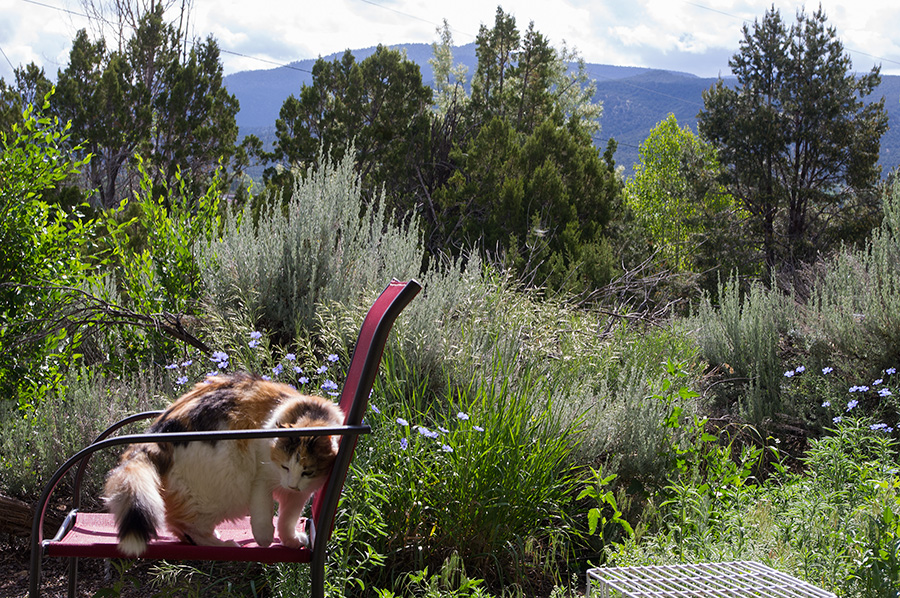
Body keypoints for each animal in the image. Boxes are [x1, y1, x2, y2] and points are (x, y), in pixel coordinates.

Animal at [103, 372, 344, 560]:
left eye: (308, 471)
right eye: (284, 467)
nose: (292, 484)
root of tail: (153, 440)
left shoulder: (298, 494)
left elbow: (287, 519)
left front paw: (290, 540)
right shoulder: (261, 479)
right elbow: (263, 511)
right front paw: (265, 537)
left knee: (179, 525)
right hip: (227, 488)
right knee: (189, 526)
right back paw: (223, 544)